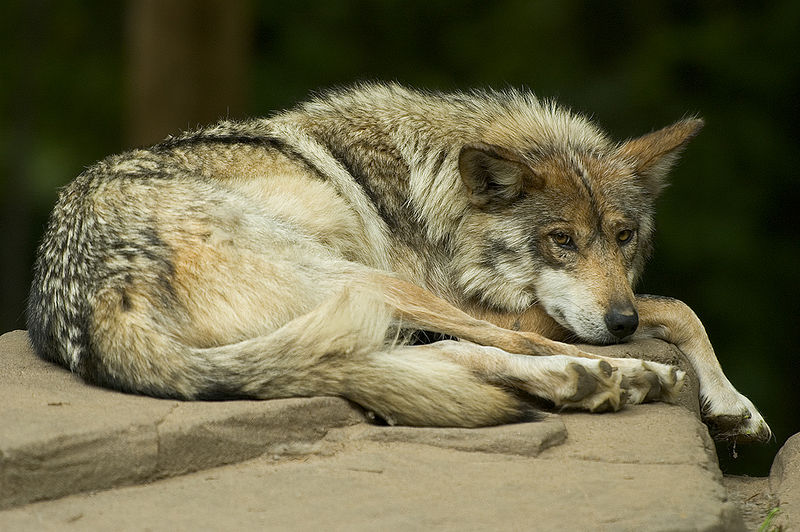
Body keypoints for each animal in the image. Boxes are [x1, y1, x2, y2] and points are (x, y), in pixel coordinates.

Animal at [28, 83, 772, 440]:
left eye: (622, 237)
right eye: (561, 240)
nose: (618, 323)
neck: (434, 195)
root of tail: (95, 298)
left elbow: (677, 307)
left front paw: (732, 405)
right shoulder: (492, 303)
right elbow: (674, 305)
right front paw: (727, 398)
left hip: (361, 308)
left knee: (429, 359)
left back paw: (586, 380)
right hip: (371, 282)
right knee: (506, 345)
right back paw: (620, 375)